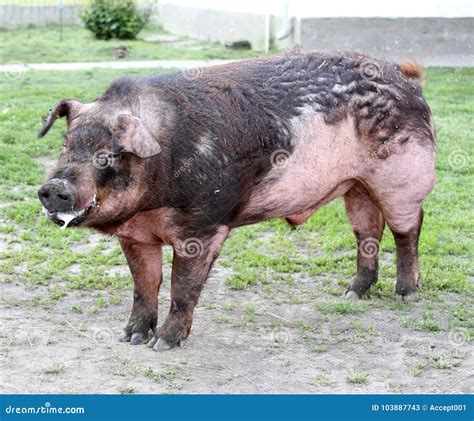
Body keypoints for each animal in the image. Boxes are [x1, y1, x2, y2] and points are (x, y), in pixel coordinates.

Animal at [37, 50, 436, 352]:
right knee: (368, 230)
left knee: (409, 228)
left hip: (402, 177)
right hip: (356, 186)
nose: (53, 187)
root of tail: (408, 79)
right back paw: (351, 294)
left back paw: (404, 294)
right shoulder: (135, 235)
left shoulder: (203, 226)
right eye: (67, 145)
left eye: (107, 155)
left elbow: (182, 287)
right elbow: (144, 284)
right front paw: (130, 338)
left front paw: (163, 344)